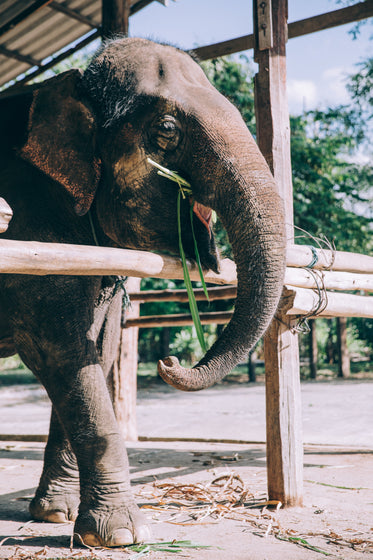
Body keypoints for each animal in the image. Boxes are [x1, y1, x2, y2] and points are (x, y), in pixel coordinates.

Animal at [0, 37, 284, 544]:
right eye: (167, 129)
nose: (169, 361)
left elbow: (97, 350)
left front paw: (55, 515)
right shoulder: (33, 229)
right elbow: (63, 350)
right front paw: (120, 536)